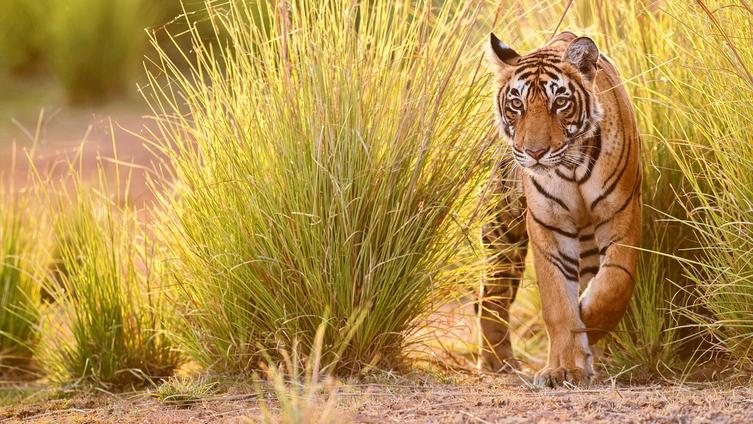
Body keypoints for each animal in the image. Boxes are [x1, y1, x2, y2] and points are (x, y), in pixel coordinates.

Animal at [478, 31, 641, 387]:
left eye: (560, 103)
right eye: (517, 104)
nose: (535, 152)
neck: (571, 167)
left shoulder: (620, 213)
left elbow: (614, 284)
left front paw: (587, 325)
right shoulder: (548, 224)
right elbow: (557, 302)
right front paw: (563, 369)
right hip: (502, 231)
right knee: (491, 295)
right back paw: (498, 362)